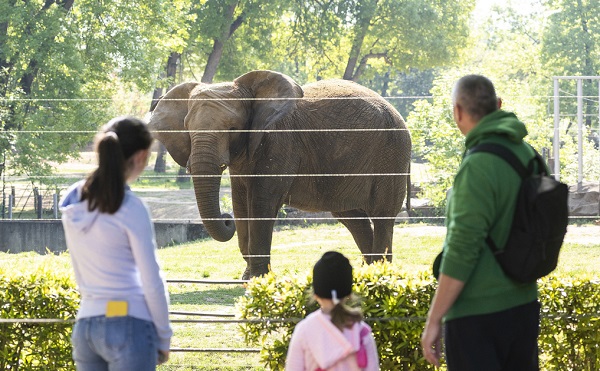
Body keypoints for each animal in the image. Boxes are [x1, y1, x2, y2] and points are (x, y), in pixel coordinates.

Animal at [149, 70, 412, 280]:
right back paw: (367, 272)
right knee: (352, 217)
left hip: (391, 155)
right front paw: (248, 277)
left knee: (382, 215)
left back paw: (380, 274)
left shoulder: (280, 142)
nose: (226, 218)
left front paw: (257, 278)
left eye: (233, 128)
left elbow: (261, 203)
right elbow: (240, 203)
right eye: (187, 128)